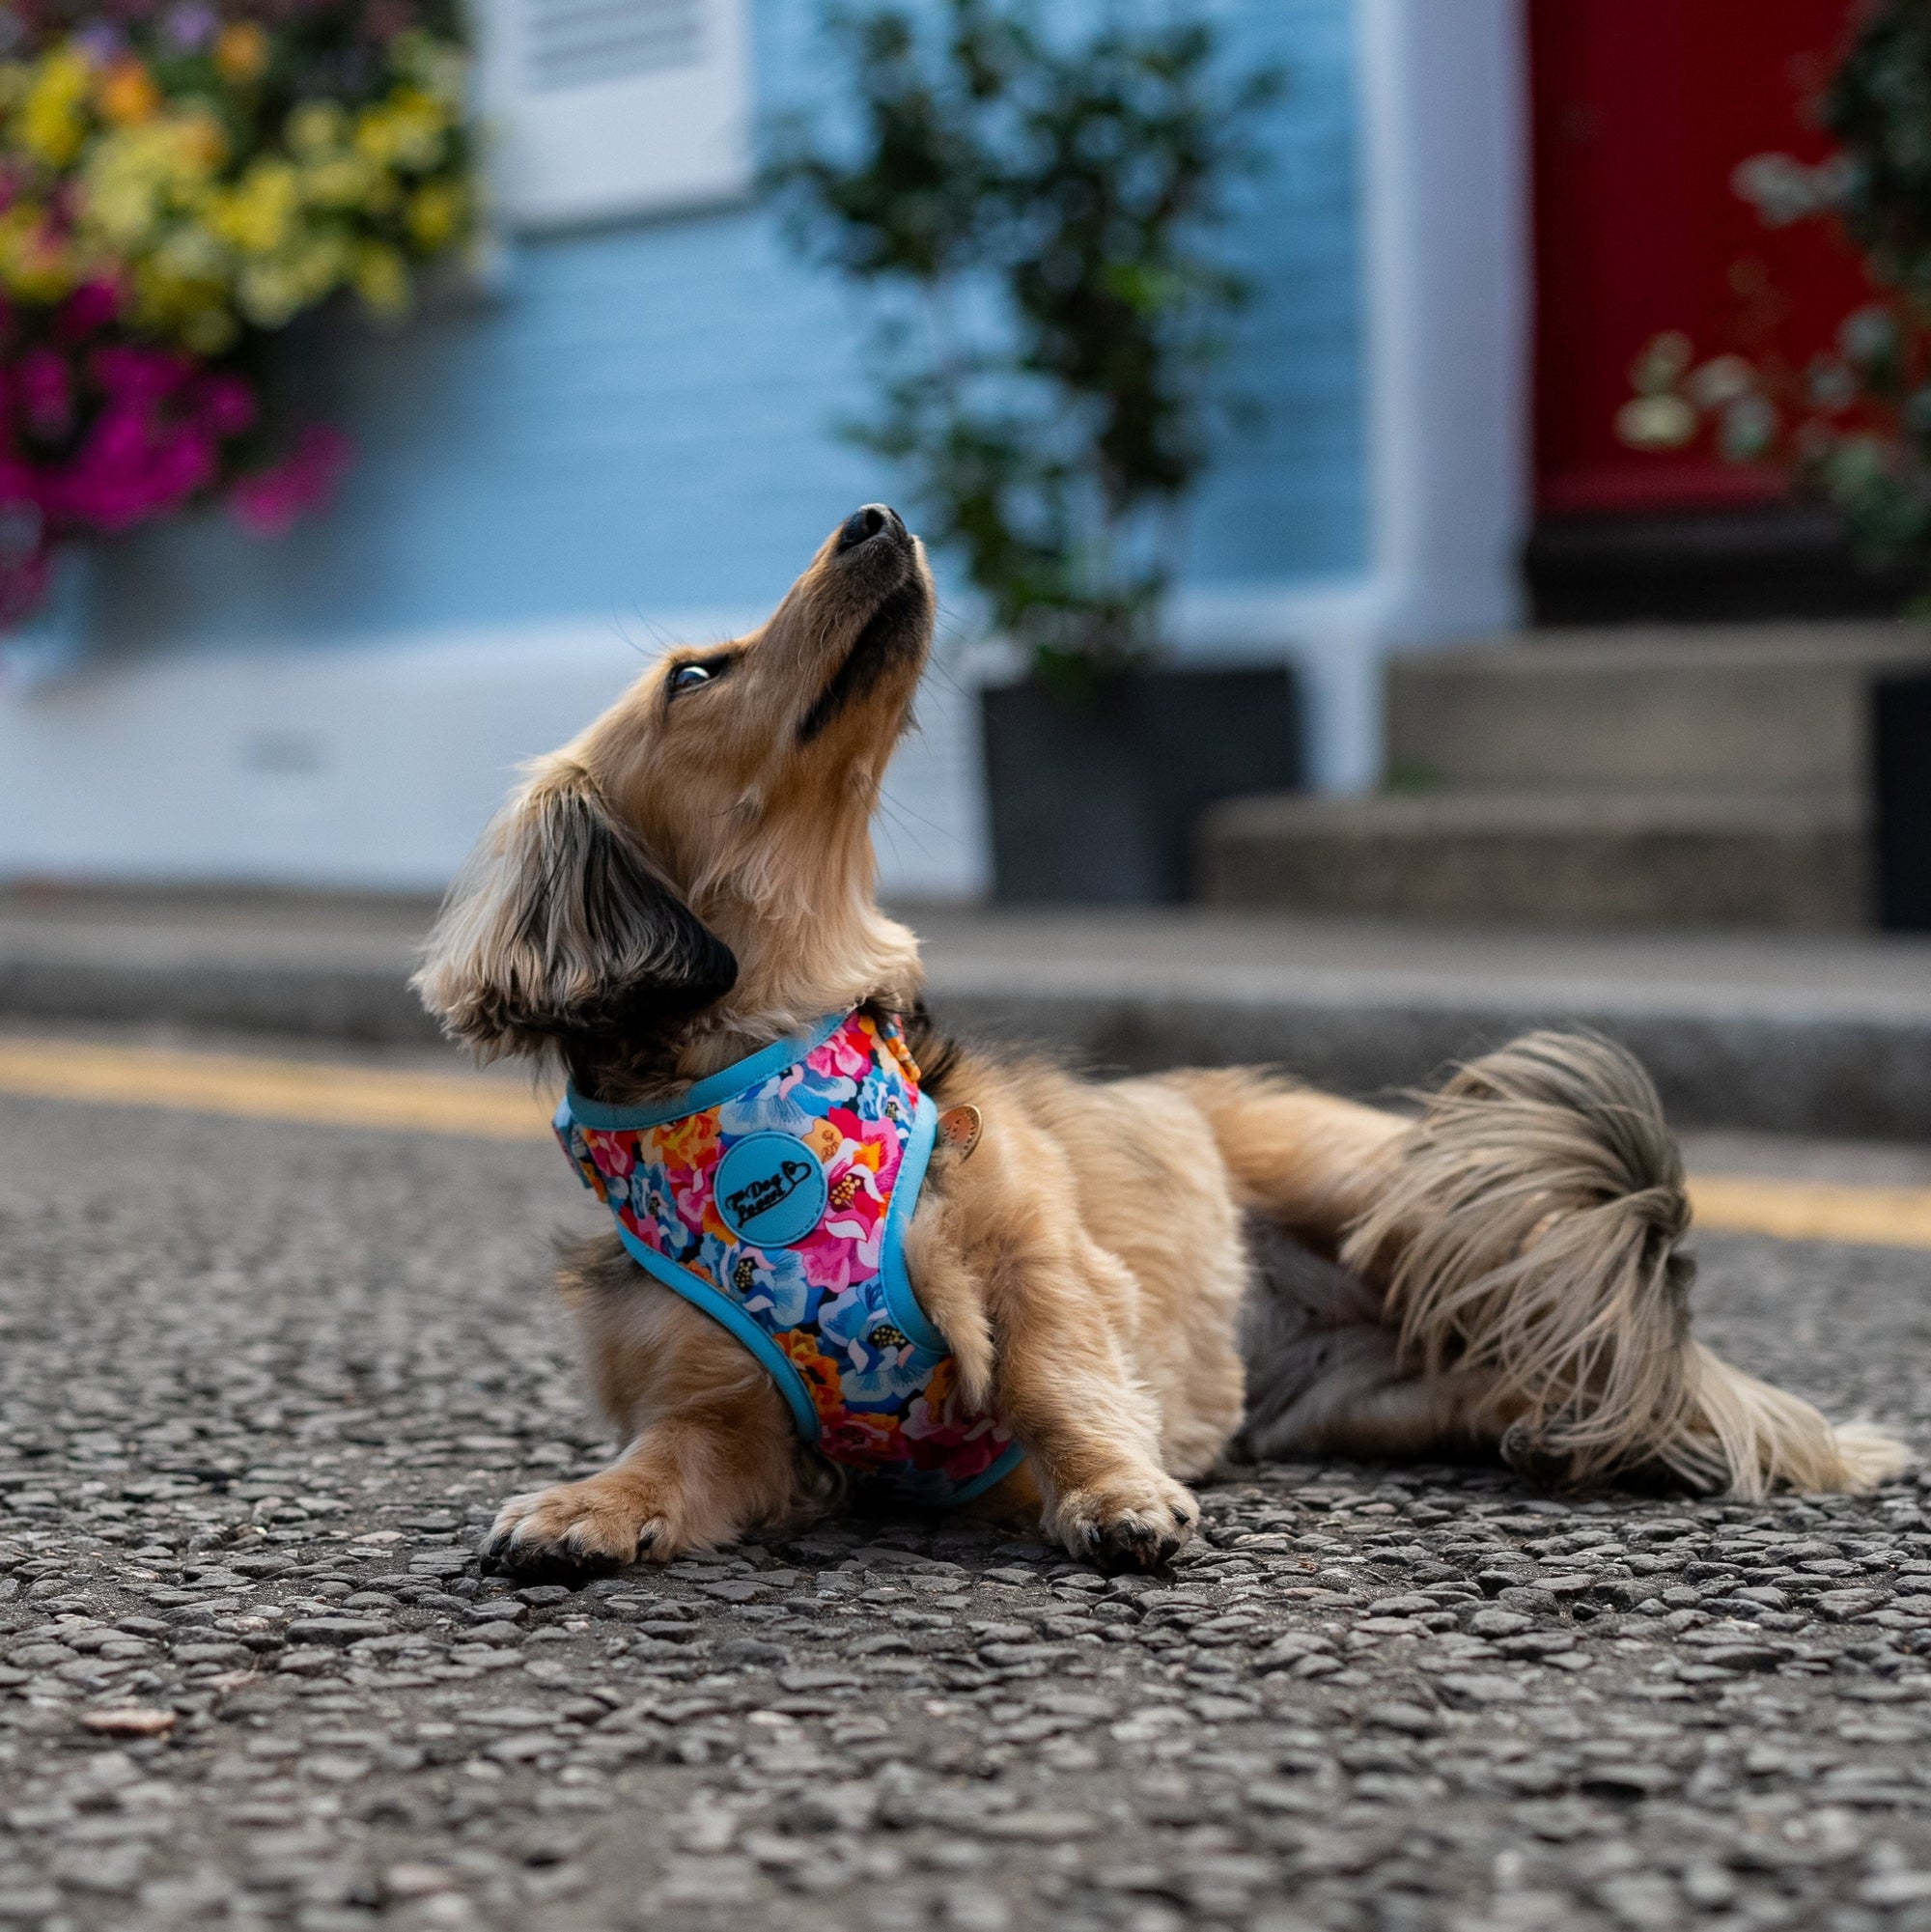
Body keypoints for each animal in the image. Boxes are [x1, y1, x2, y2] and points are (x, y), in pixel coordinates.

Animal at [415, 506, 1908, 1576]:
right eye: (696, 674)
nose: (874, 518)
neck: (767, 1114)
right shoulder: (719, 1406)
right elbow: (666, 1461)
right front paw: (586, 1506)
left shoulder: (1043, 1272)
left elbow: (1064, 1387)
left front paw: (1118, 1495)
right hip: (1381, 1389)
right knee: (1527, 1370)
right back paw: (1559, 1432)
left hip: (1408, 1197)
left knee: (1629, 1346)